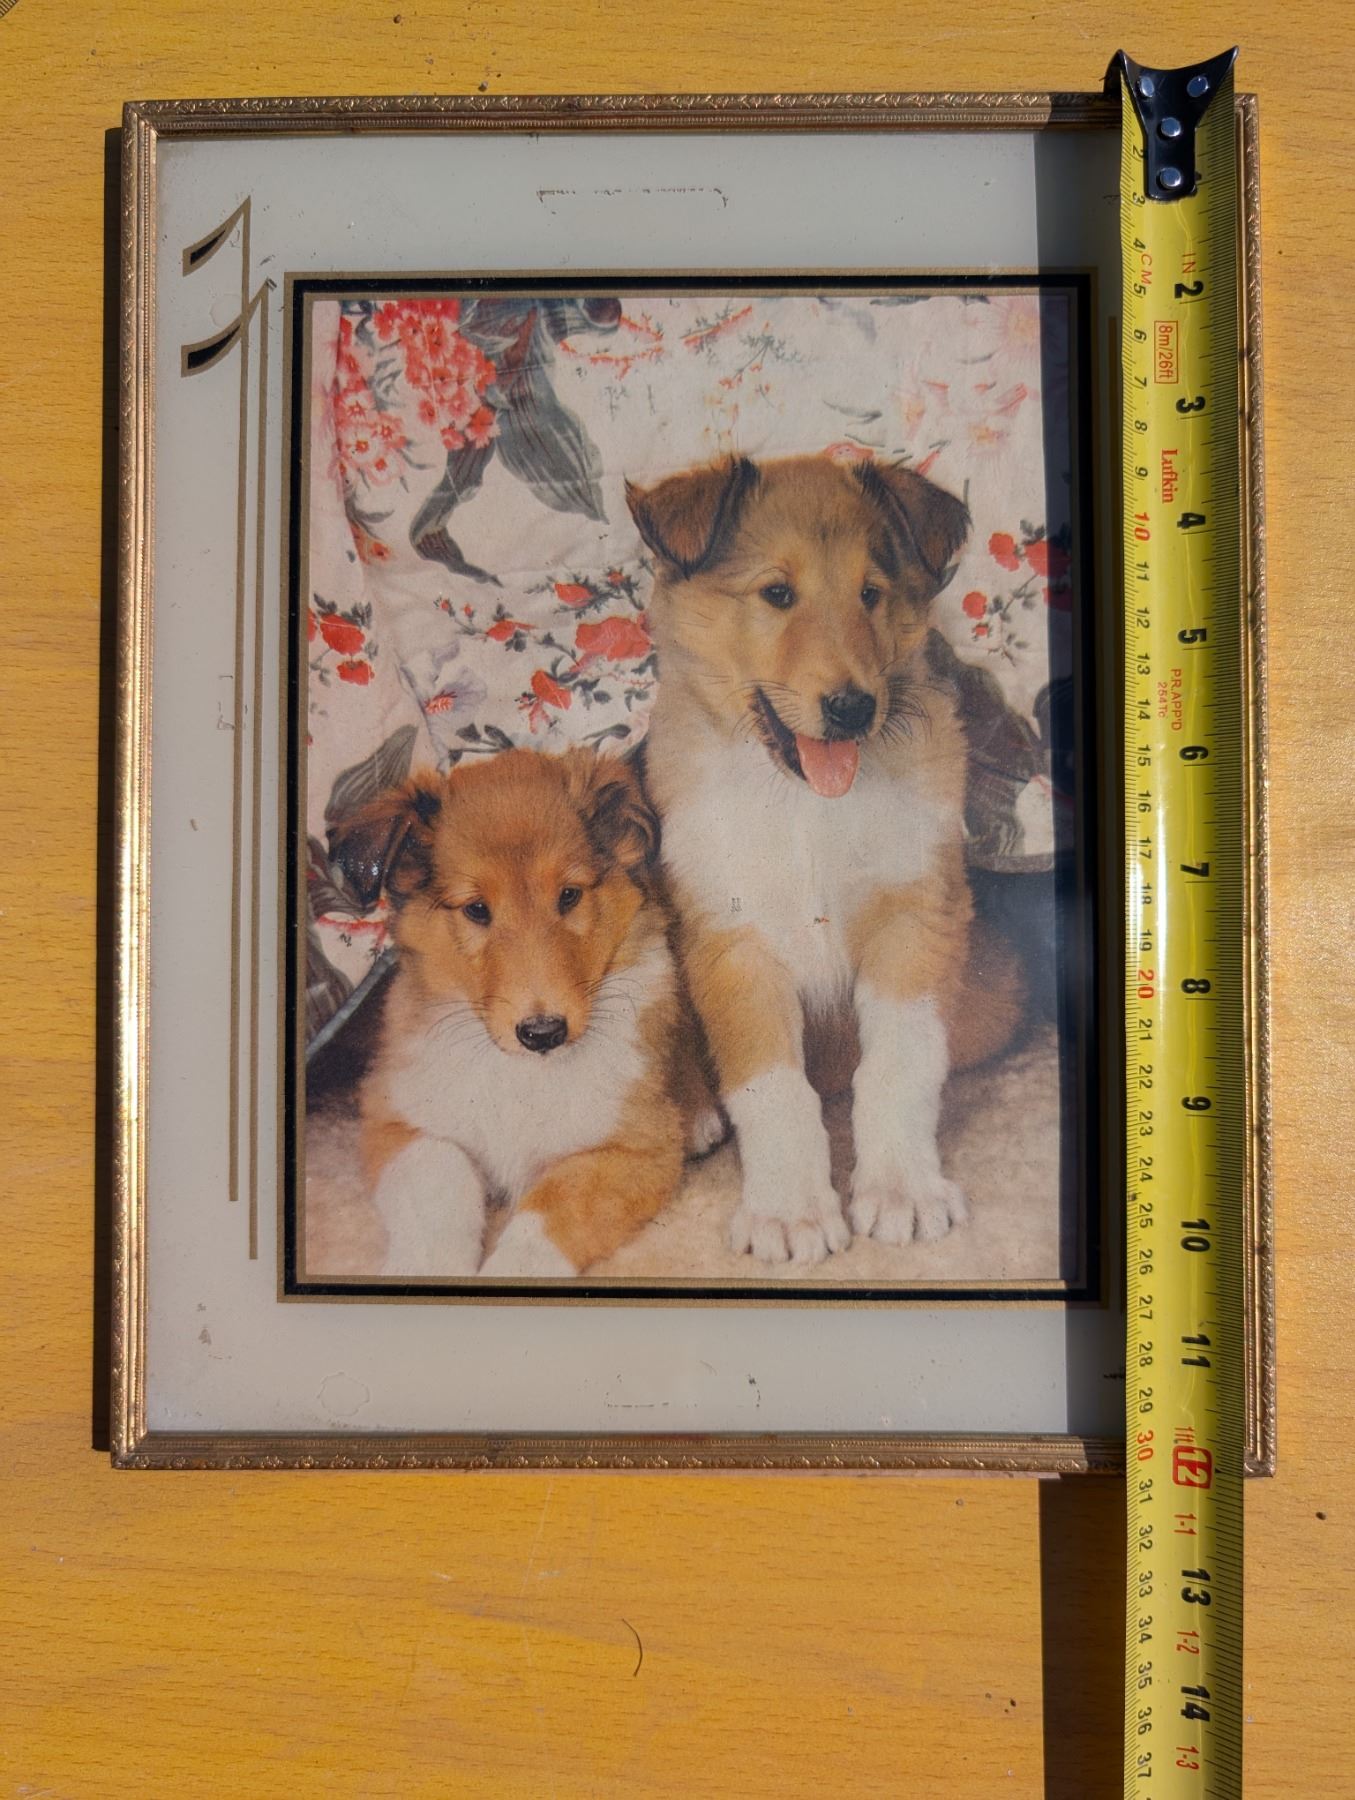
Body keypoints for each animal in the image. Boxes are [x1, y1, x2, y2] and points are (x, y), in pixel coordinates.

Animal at [329, 747, 697, 1278]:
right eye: (476, 909)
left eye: (569, 895)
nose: (543, 1033)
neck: (520, 1072)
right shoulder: (395, 1117)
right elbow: (439, 1176)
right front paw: (428, 1268)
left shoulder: (636, 1149)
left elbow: (550, 1209)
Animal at [626, 452, 1024, 1267]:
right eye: (777, 593)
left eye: (870, 593)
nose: (851, 709)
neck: (806, 807)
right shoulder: (733, 941)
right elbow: (771, 1089)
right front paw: (788, 1212)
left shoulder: (915, 919)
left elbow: (899, 1066)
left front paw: (901, 1192)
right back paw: (693, 1112)